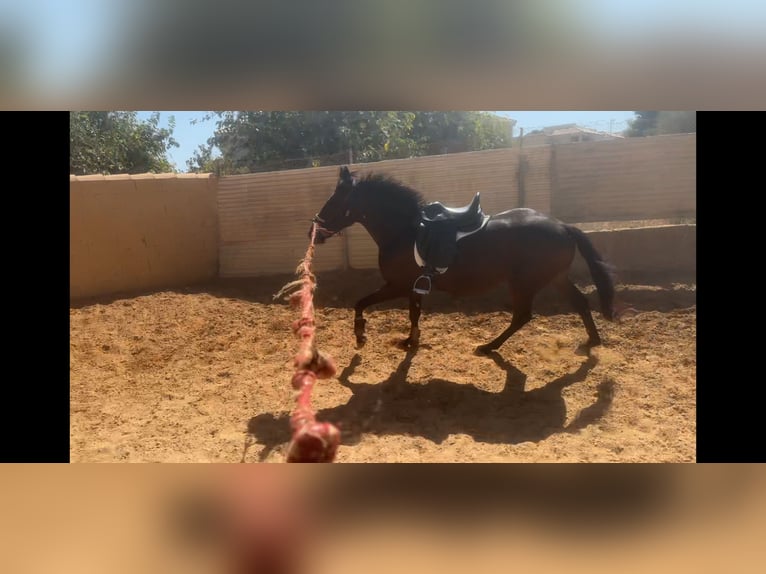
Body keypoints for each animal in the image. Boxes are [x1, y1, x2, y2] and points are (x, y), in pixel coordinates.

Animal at [310, 166, 615, 355]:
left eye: (335, 201)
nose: (314, 231)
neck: (404, 231)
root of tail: (563, 226)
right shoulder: (414, 287)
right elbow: (413, 314)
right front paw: (411, 340)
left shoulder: (396, 285)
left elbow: (360, 303)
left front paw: (361, 335)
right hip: (556, 278)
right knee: (579, 303)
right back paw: (592, 340)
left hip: (524, 283)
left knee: (522, 316)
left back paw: (489, 347)